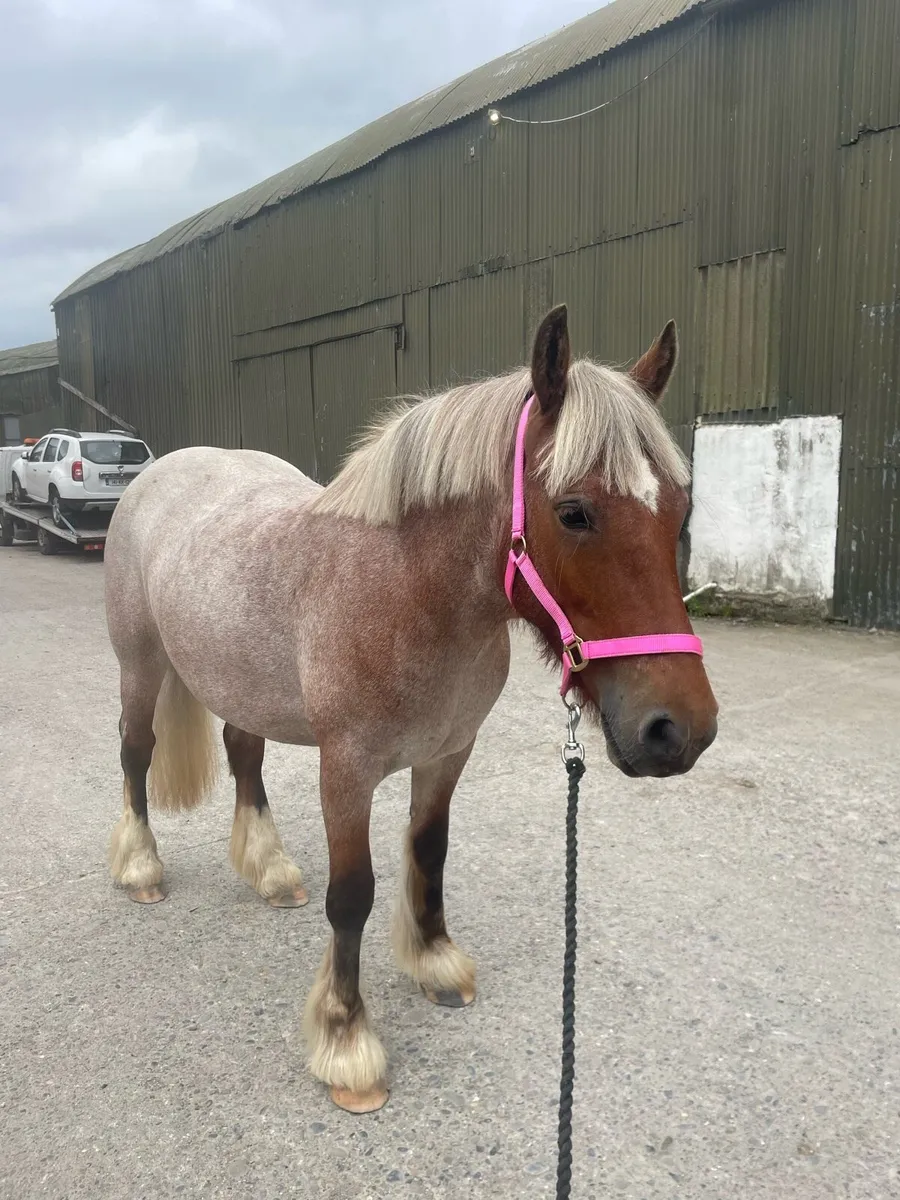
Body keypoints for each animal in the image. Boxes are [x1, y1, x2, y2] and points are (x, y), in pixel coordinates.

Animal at [103, 304, 718, 1114]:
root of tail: (157, 471)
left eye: (679, 509)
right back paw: (141, 866)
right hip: (140, 667)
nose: (679, 731)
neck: (405, 591)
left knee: (244, 751)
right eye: (574, 512)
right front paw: (346, 1042)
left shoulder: (448, 754)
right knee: (135, 753)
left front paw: (436, 965)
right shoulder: (346, 771)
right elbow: (352, 895)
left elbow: (429, 853)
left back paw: (269, 869)